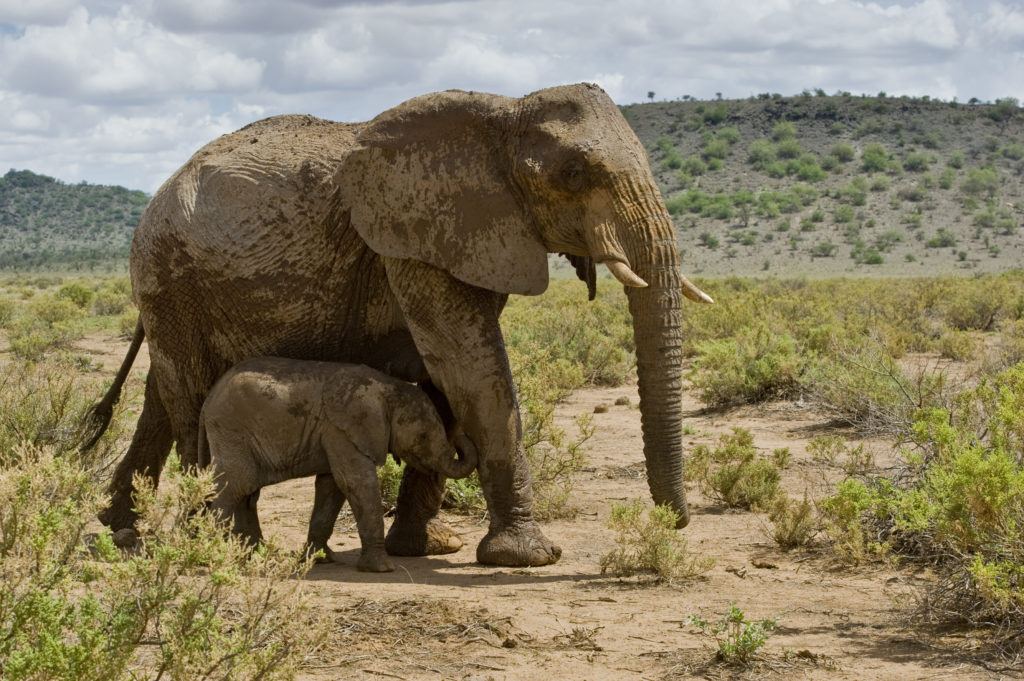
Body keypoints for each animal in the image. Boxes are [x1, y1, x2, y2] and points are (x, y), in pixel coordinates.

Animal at [195, 358, 475, 569]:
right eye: (423, 437)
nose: (463, 433)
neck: (388, 389)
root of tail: (208, 401)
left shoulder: (335, 434)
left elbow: (331, 487)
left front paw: (319, 559)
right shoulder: (342, 431)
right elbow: (355, 482)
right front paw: (382, 568)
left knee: (247, 492)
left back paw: (252, 555)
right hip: (232, 431)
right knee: (237, 484)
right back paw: (214, 554)